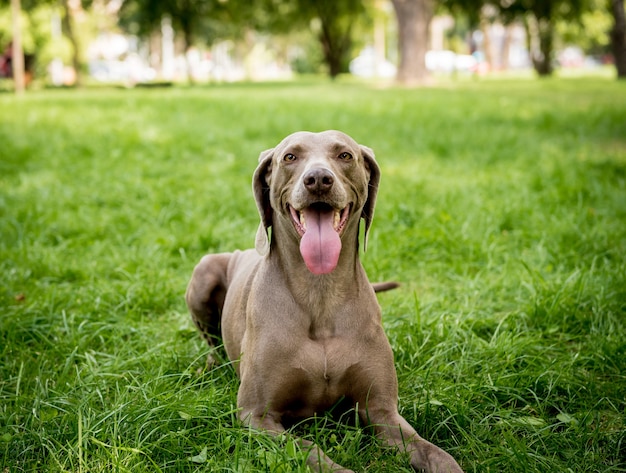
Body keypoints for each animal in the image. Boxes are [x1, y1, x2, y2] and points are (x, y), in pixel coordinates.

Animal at [183, 130, 460, 472]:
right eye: (290, 156)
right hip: (205, 270)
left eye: (345, 155)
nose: (318, 179)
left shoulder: (381, 409)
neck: (321, 292)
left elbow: (434, 452)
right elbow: (311, 451)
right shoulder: (257, 415)